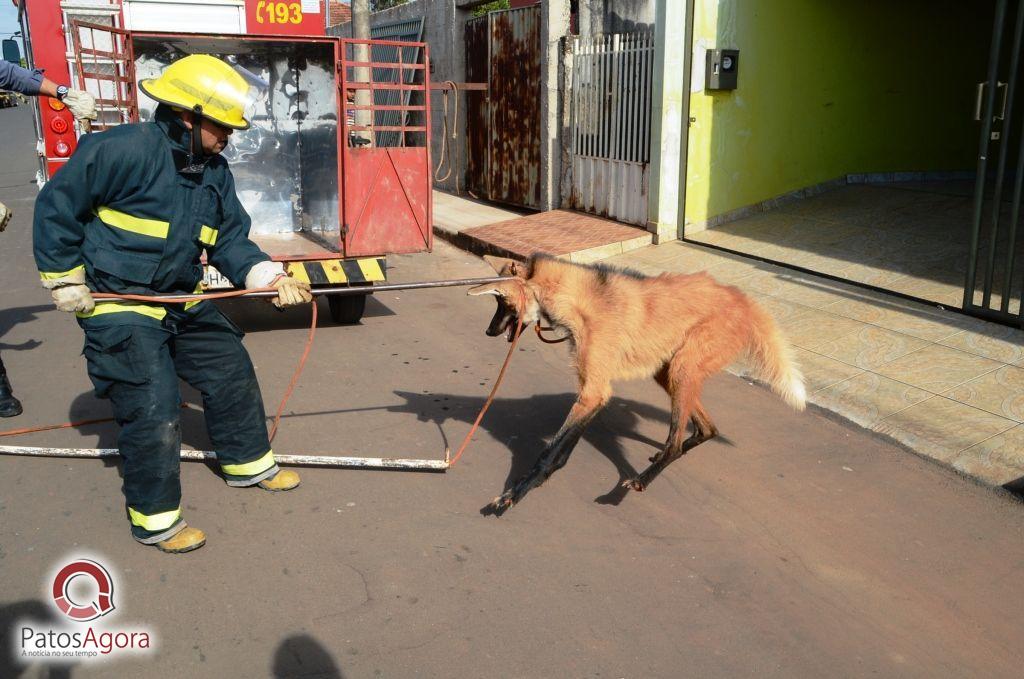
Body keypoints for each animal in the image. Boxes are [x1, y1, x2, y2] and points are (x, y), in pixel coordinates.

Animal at [466, 253, 806, 510]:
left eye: (501, 302)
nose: (488, 332)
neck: (578, 304)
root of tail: (742, 297)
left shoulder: (593, 393)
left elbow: (547, 453)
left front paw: (515, 493)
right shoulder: (594, 395)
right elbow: (560, 453)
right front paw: (536, 483)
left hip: (681, 369)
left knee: (676, 443)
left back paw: (643, 478)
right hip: (668, 373)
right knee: (707, 428)